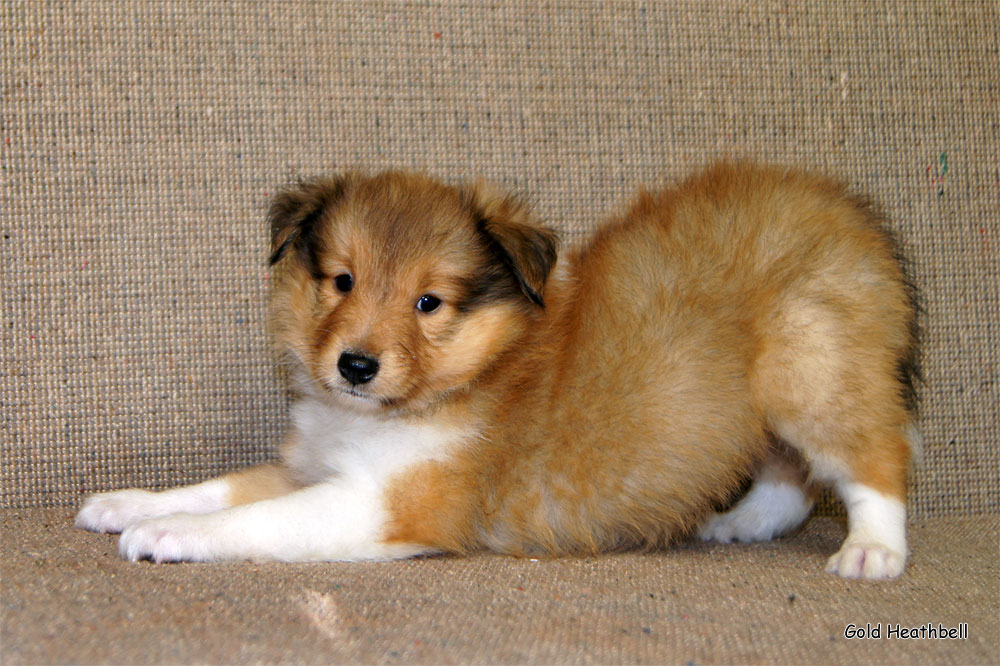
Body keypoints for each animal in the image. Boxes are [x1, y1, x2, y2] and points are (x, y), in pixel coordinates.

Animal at [78, 161, 920, 576]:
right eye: (341, 281)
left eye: (429, 302)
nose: (355, 365)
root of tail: (846, 209)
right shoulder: (314, 466)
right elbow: (225, 484)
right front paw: (128, 503)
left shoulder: (388, 503)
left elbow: (255, 518)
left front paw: (168, 533)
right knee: (789, 480)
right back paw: (739, 523)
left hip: (811, 369)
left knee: (873, 459)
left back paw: (872, 553)